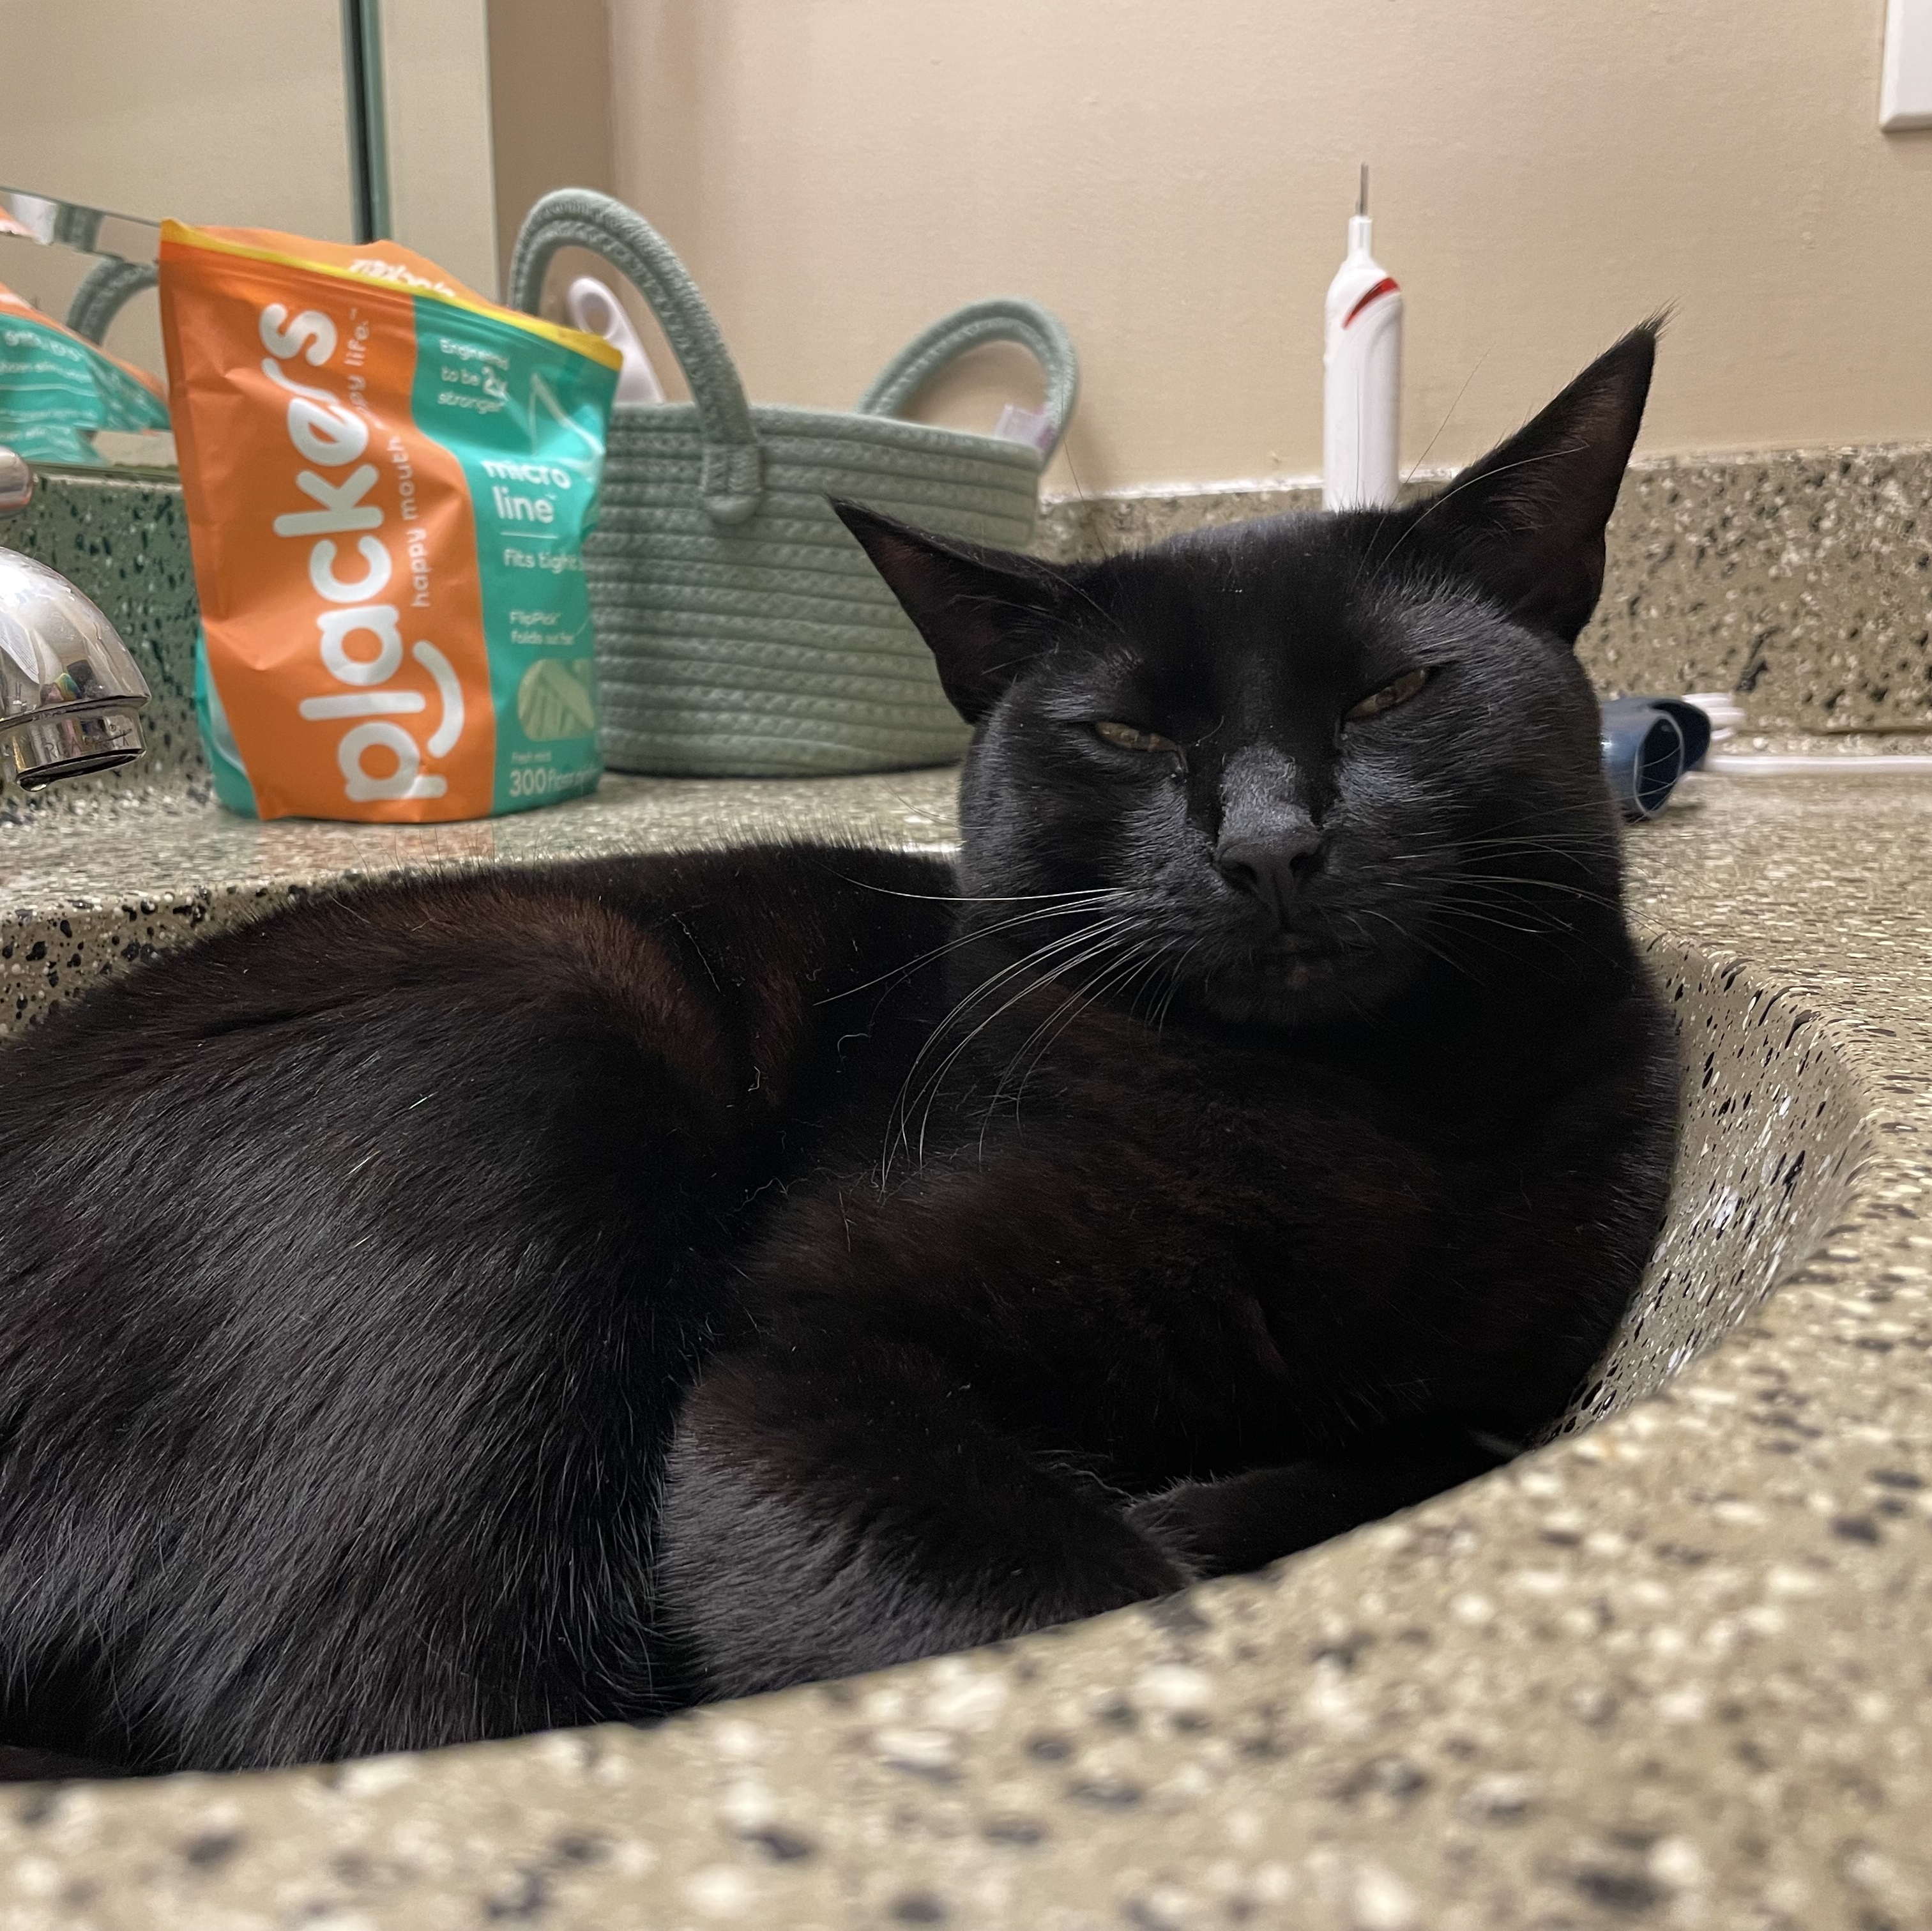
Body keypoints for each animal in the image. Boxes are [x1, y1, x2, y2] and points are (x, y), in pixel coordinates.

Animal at [0, 328, 1669, 1770]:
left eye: (1392, 691)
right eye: (1125, 733)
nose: (1268, 842)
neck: (1337, 1109)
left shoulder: (1500, 1371)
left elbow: (1436, 1433)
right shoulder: (800, 1348)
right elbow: (1073, 1594)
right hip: (550, 1017)